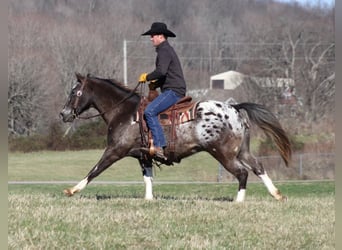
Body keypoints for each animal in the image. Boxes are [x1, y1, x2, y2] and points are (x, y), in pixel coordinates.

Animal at [59, 72, 292, 201]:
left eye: (74, 92)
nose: (63, 114)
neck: (124, 112)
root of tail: (234, 108)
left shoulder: (115, 150)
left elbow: (95, 170)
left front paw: (72, 190)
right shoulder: (144, 155)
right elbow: (148, 178)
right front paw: (149, 199)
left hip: (223, 154)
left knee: (242, 173)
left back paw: (239, 201)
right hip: (242, 151)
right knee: (258, 167)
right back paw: (276, 194)